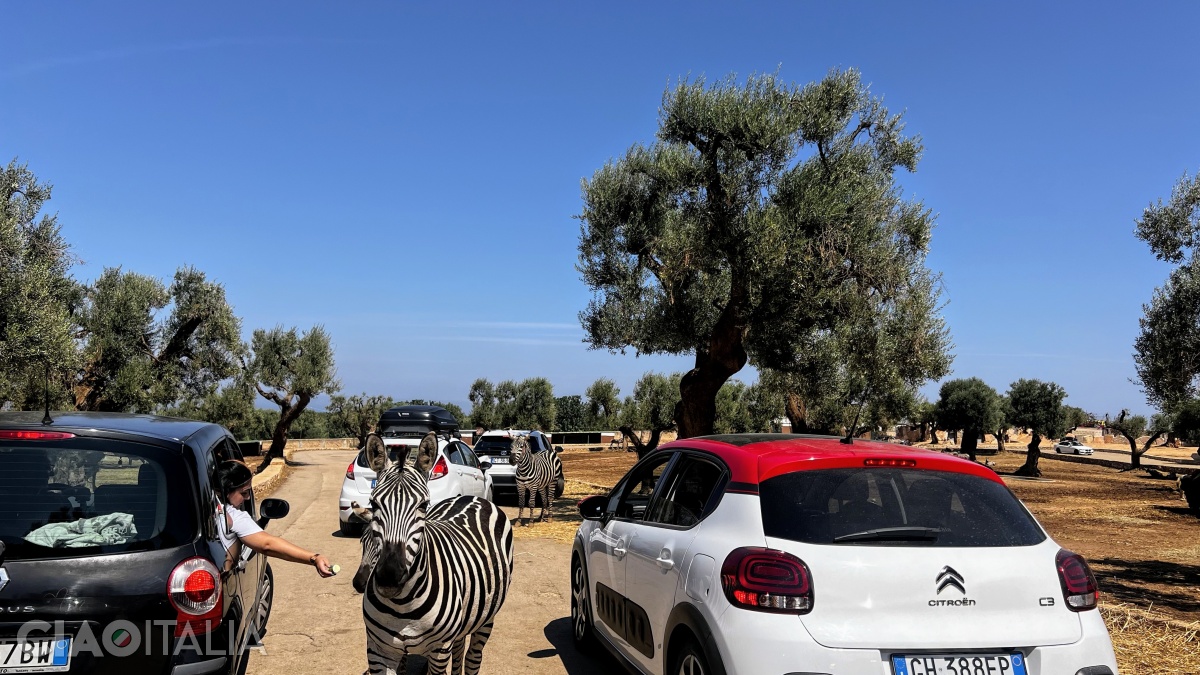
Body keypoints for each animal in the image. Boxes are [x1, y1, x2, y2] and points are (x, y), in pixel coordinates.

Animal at [350, 429, 513, 672]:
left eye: (423, 505)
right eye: (374, 503)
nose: (389, 578)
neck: (402, 605)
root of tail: (472, 496)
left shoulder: (439, 650)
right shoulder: (378, 650)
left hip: (487, 616)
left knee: (473, 657)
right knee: (459, 649)